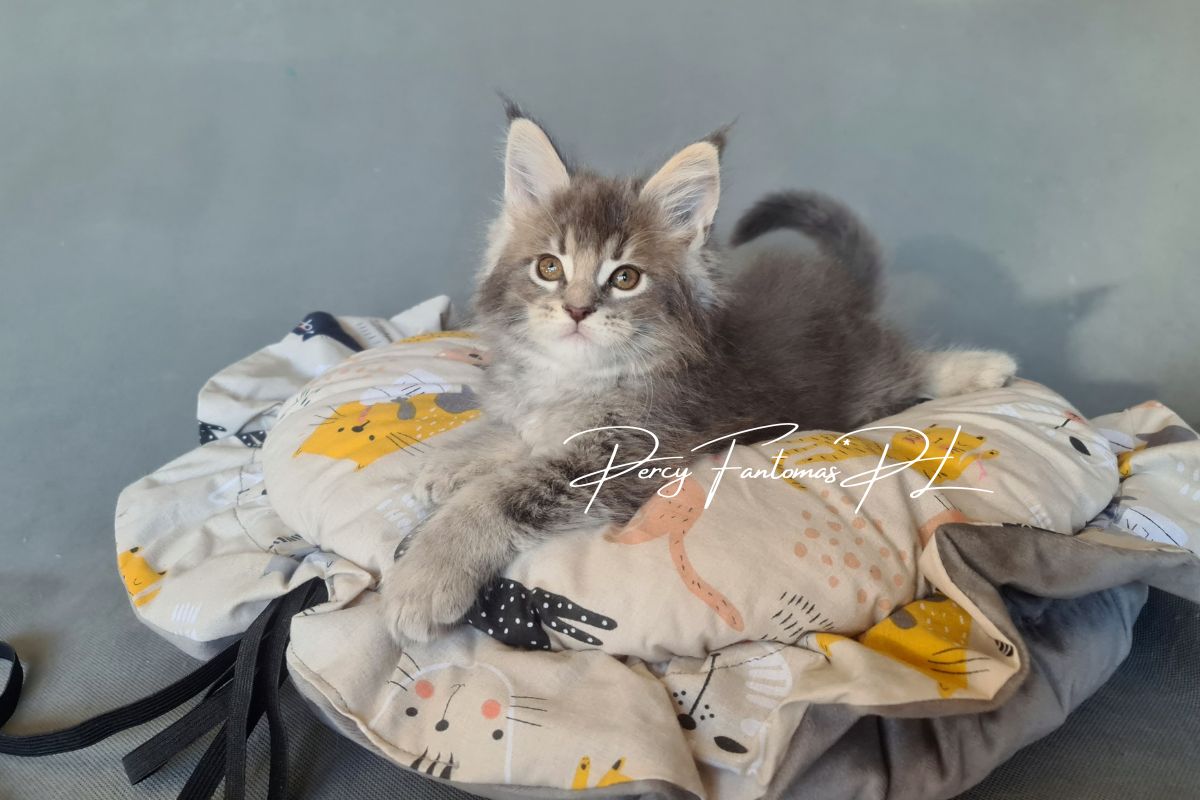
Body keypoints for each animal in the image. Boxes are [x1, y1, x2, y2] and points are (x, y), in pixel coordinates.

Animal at [380, 101, 1016, 642]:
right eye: (548, 267)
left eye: (625, 278)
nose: (578, 309)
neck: (576, 377)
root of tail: (843, 291)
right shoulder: (542, 413)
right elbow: (510, 429)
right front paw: (452, 457)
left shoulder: (628, 451)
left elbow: (501, 495)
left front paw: (424, 576)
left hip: (858, 380)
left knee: (909, 365)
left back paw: (984, 367)